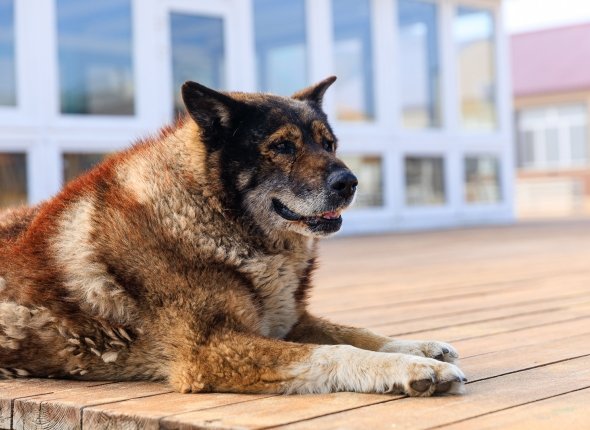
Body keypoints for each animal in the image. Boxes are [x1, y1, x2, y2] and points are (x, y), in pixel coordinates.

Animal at [0, 77, 466, 396]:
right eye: (282, 147)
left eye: (329, 144)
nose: (349, 182)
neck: (214, 215)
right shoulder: (211, 350)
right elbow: (339, 351)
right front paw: (411, 369)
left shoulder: (290, 320)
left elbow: (359, 333)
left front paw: (418, 347)